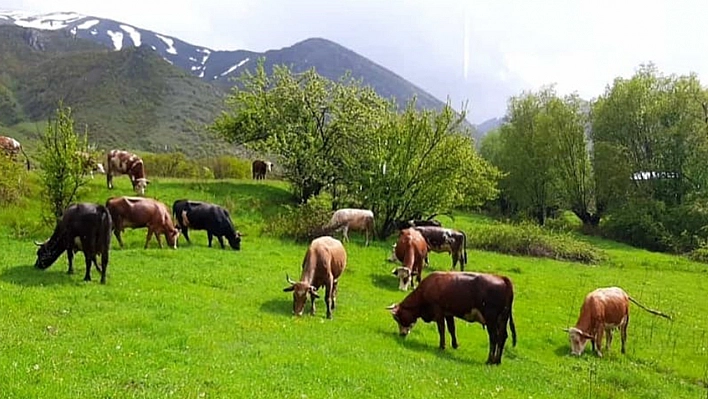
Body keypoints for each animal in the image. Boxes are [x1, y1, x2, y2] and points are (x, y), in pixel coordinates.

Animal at [384, 272, 516, 366]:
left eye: (397, 318)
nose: (402, 334)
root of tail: (502, 278)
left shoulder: (438, 311)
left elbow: (441, 329)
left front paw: (442, 346)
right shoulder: (448, 313)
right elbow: (452, 329)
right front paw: (455, 345)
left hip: (491, 320)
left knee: (494, 337)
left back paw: (490, 360)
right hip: (502, 320)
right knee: (502, 337)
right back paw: (497, 361)